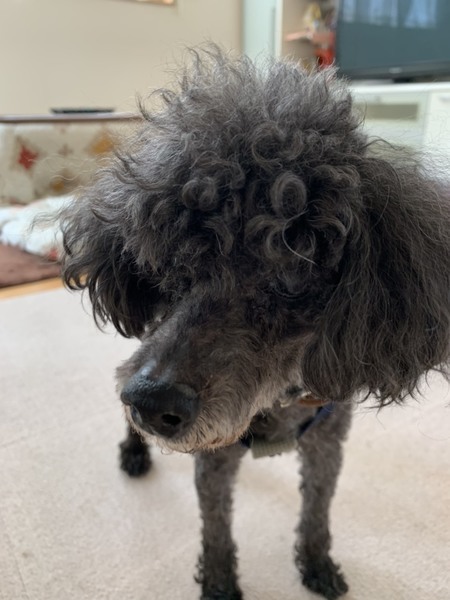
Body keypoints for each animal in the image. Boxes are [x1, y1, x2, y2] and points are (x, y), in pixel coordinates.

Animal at [60, 48, 450, 600]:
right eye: (172, 264)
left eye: (289, 275)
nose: (153, 404)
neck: (274, 405)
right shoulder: (213, 457)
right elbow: (217, 528)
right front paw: (221, 584)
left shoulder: (327, 444)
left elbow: (317, 511)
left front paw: (317, 563)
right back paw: (134, 449)